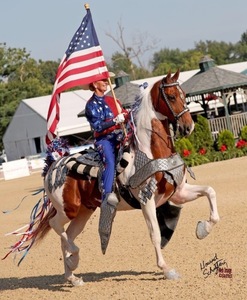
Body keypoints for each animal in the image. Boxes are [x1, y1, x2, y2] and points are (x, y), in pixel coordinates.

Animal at [6, 70, 220, 286]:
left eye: (183, 94)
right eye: (172, 96)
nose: (188, 126)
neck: (151, 151)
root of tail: (52, 166)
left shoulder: (178, 193)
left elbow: (210, 192)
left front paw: (204, 229)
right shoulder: (146, 199)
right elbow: (155, 234)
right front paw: (167, 270)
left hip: (84, 212)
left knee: (66, 236)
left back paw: (73, 275)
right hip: (68, 209)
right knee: (56, 226)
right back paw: (74, 258)